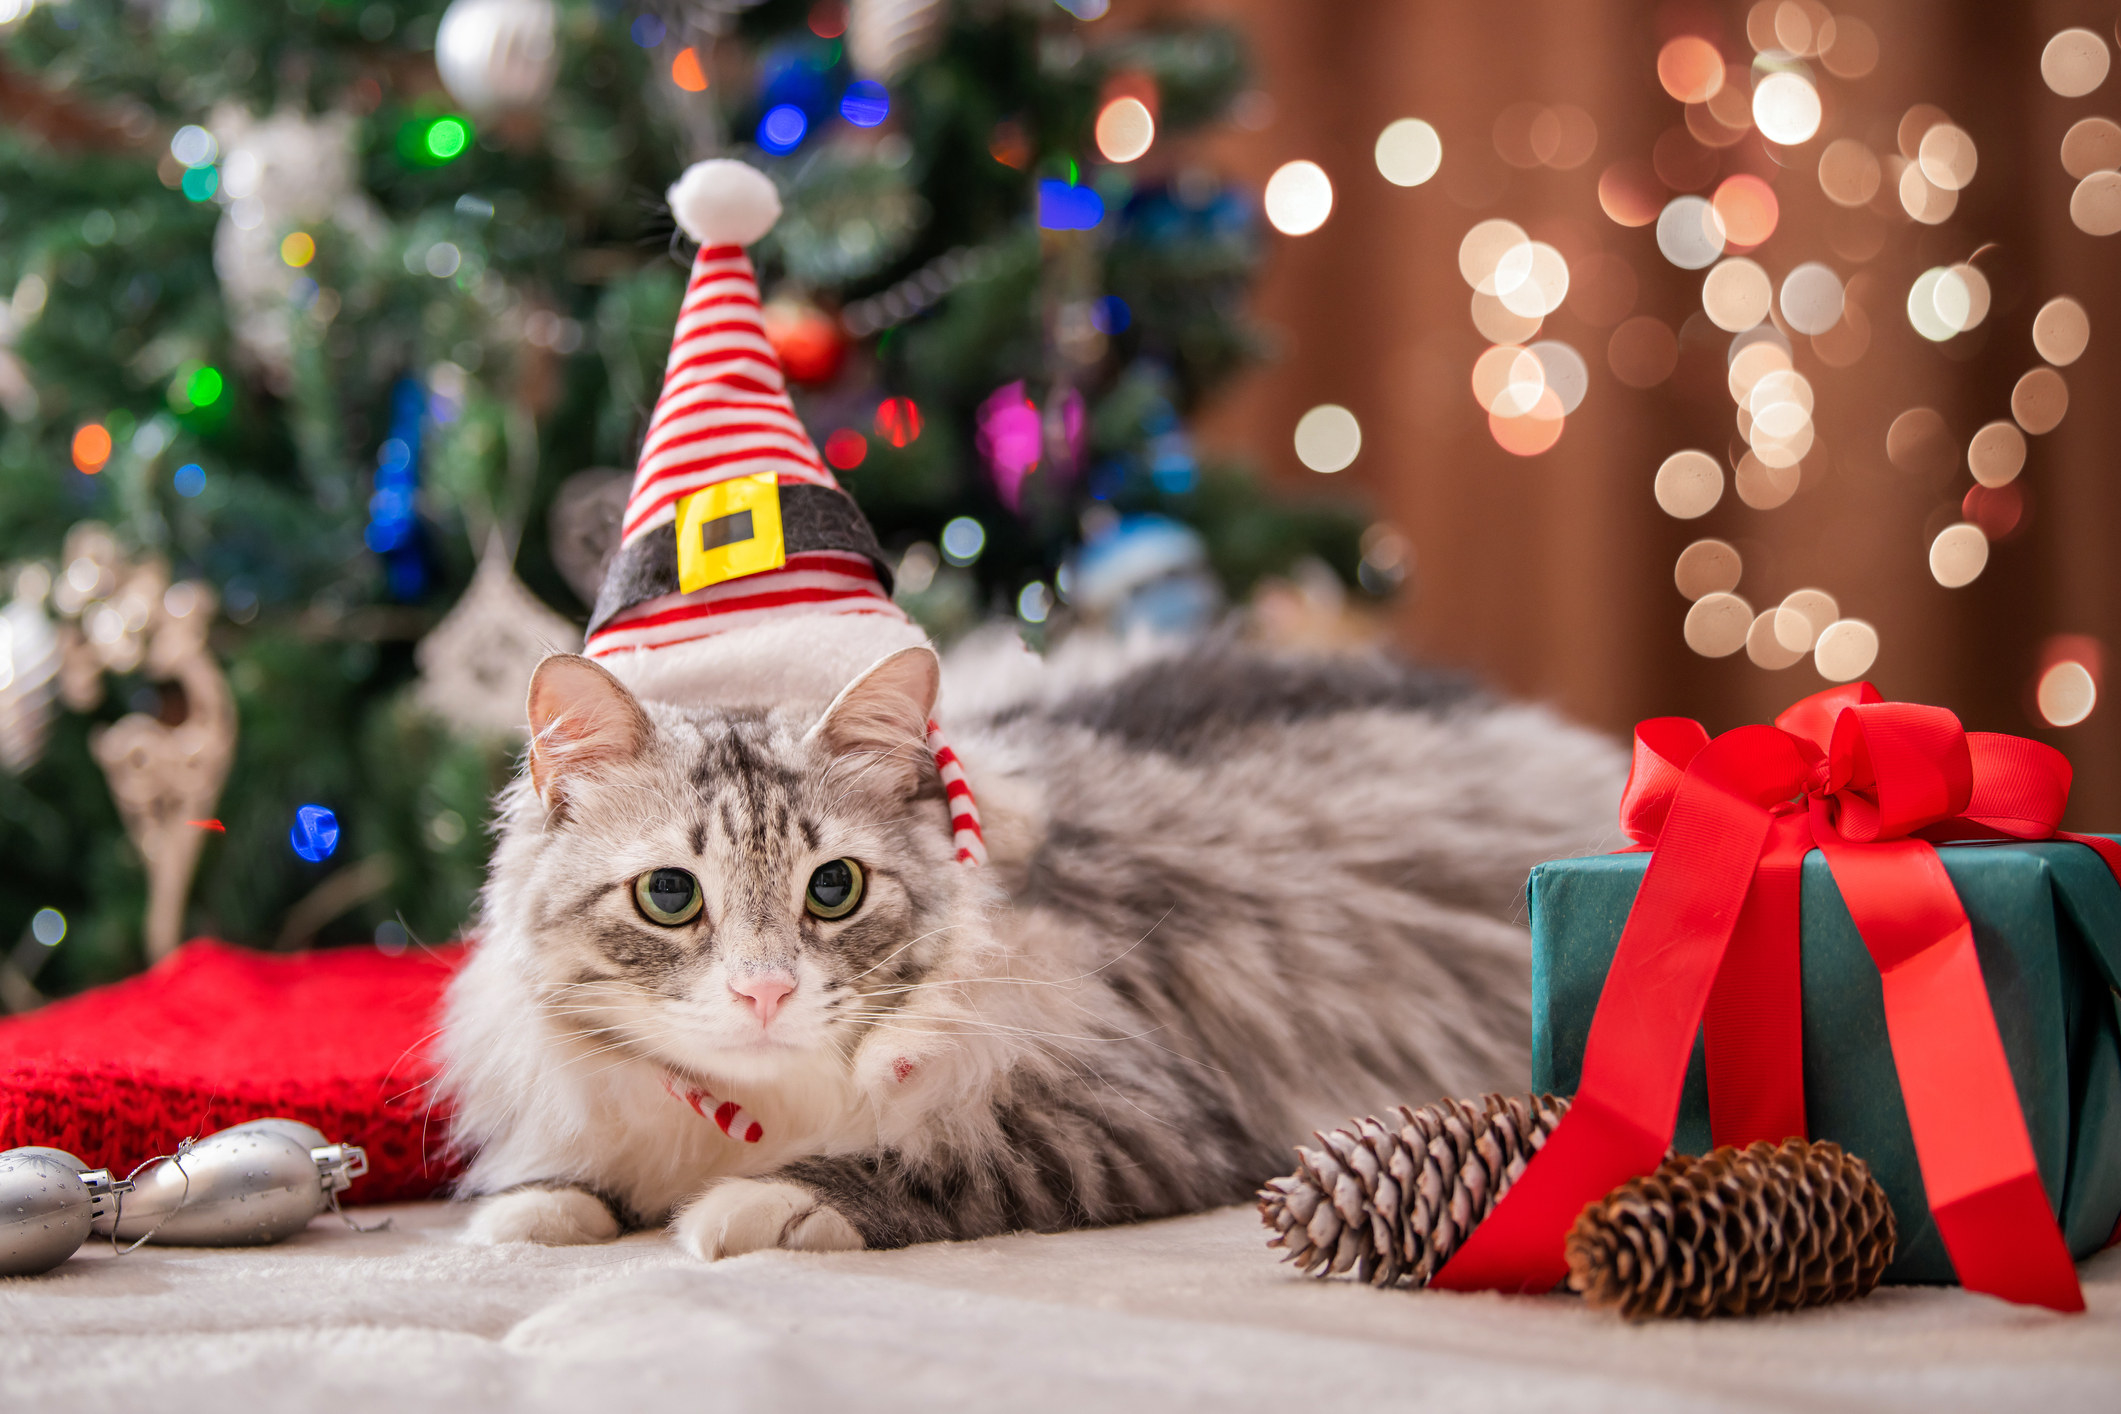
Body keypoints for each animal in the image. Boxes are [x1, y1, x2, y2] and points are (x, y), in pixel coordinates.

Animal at [430, 631, 1620, 1263]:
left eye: (834, 888)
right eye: (671, 895)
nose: (765, 991)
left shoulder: (1131, 1115)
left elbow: (933, 1159)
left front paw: (753, 1205)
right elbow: (570, 1173)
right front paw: (526, 1214)